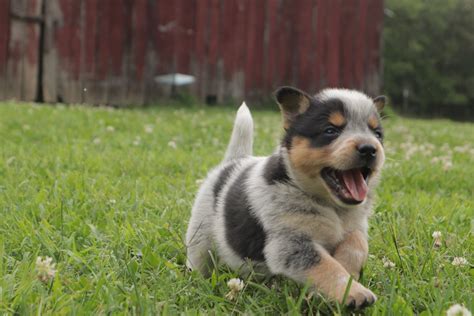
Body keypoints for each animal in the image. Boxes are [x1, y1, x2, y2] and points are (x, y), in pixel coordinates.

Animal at [185, 86, 386, 308]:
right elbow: (326, 267)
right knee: (199, 258)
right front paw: (354, 292)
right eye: (330, 130)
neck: (331, 207)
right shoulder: (289, 244)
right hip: (200, 235)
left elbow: (357, 244)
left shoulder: (356, 226)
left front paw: (348, 272)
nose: (369, 148)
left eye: (377, 134)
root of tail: (234, 161)